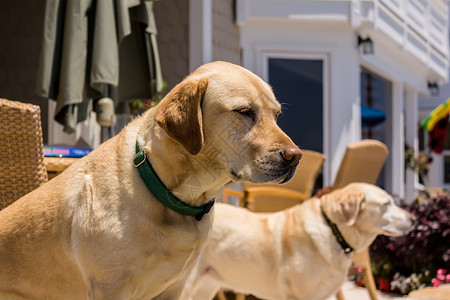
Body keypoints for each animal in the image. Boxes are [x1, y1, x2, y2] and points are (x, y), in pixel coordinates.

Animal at [0, 61, 302, 300]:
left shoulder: (174, 287)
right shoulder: (110, 289)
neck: (170, 193)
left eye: (277, 115)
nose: (295, 156)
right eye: (244, 111)